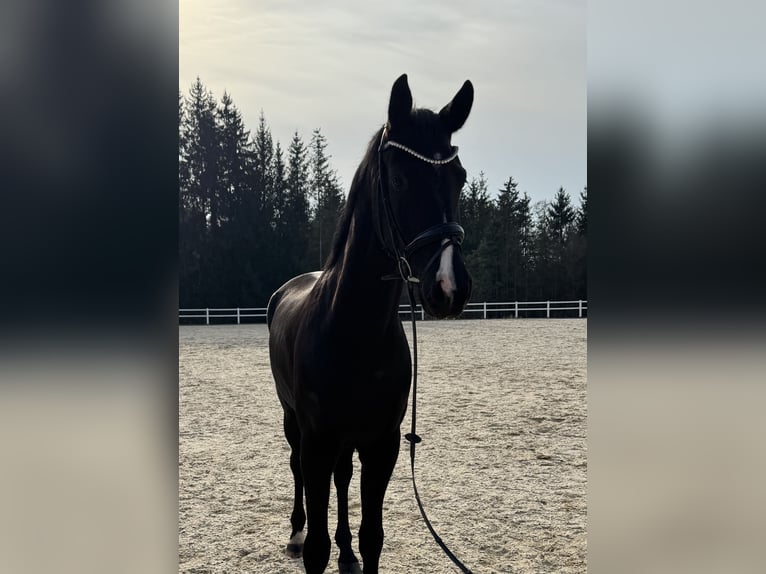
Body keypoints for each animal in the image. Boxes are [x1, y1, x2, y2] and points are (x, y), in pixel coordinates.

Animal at [268, 75, 474, 574]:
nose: (449, 286)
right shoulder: (318, 441)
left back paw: (345, 551)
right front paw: (312, 541)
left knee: (343, 480)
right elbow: (317, 548)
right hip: (292, 421)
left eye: (458, 177)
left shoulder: (382, 444)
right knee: (295, 467)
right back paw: (295, 531)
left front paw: (351, 548)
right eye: (398, 179)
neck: (354, 335)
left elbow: (372, 537)